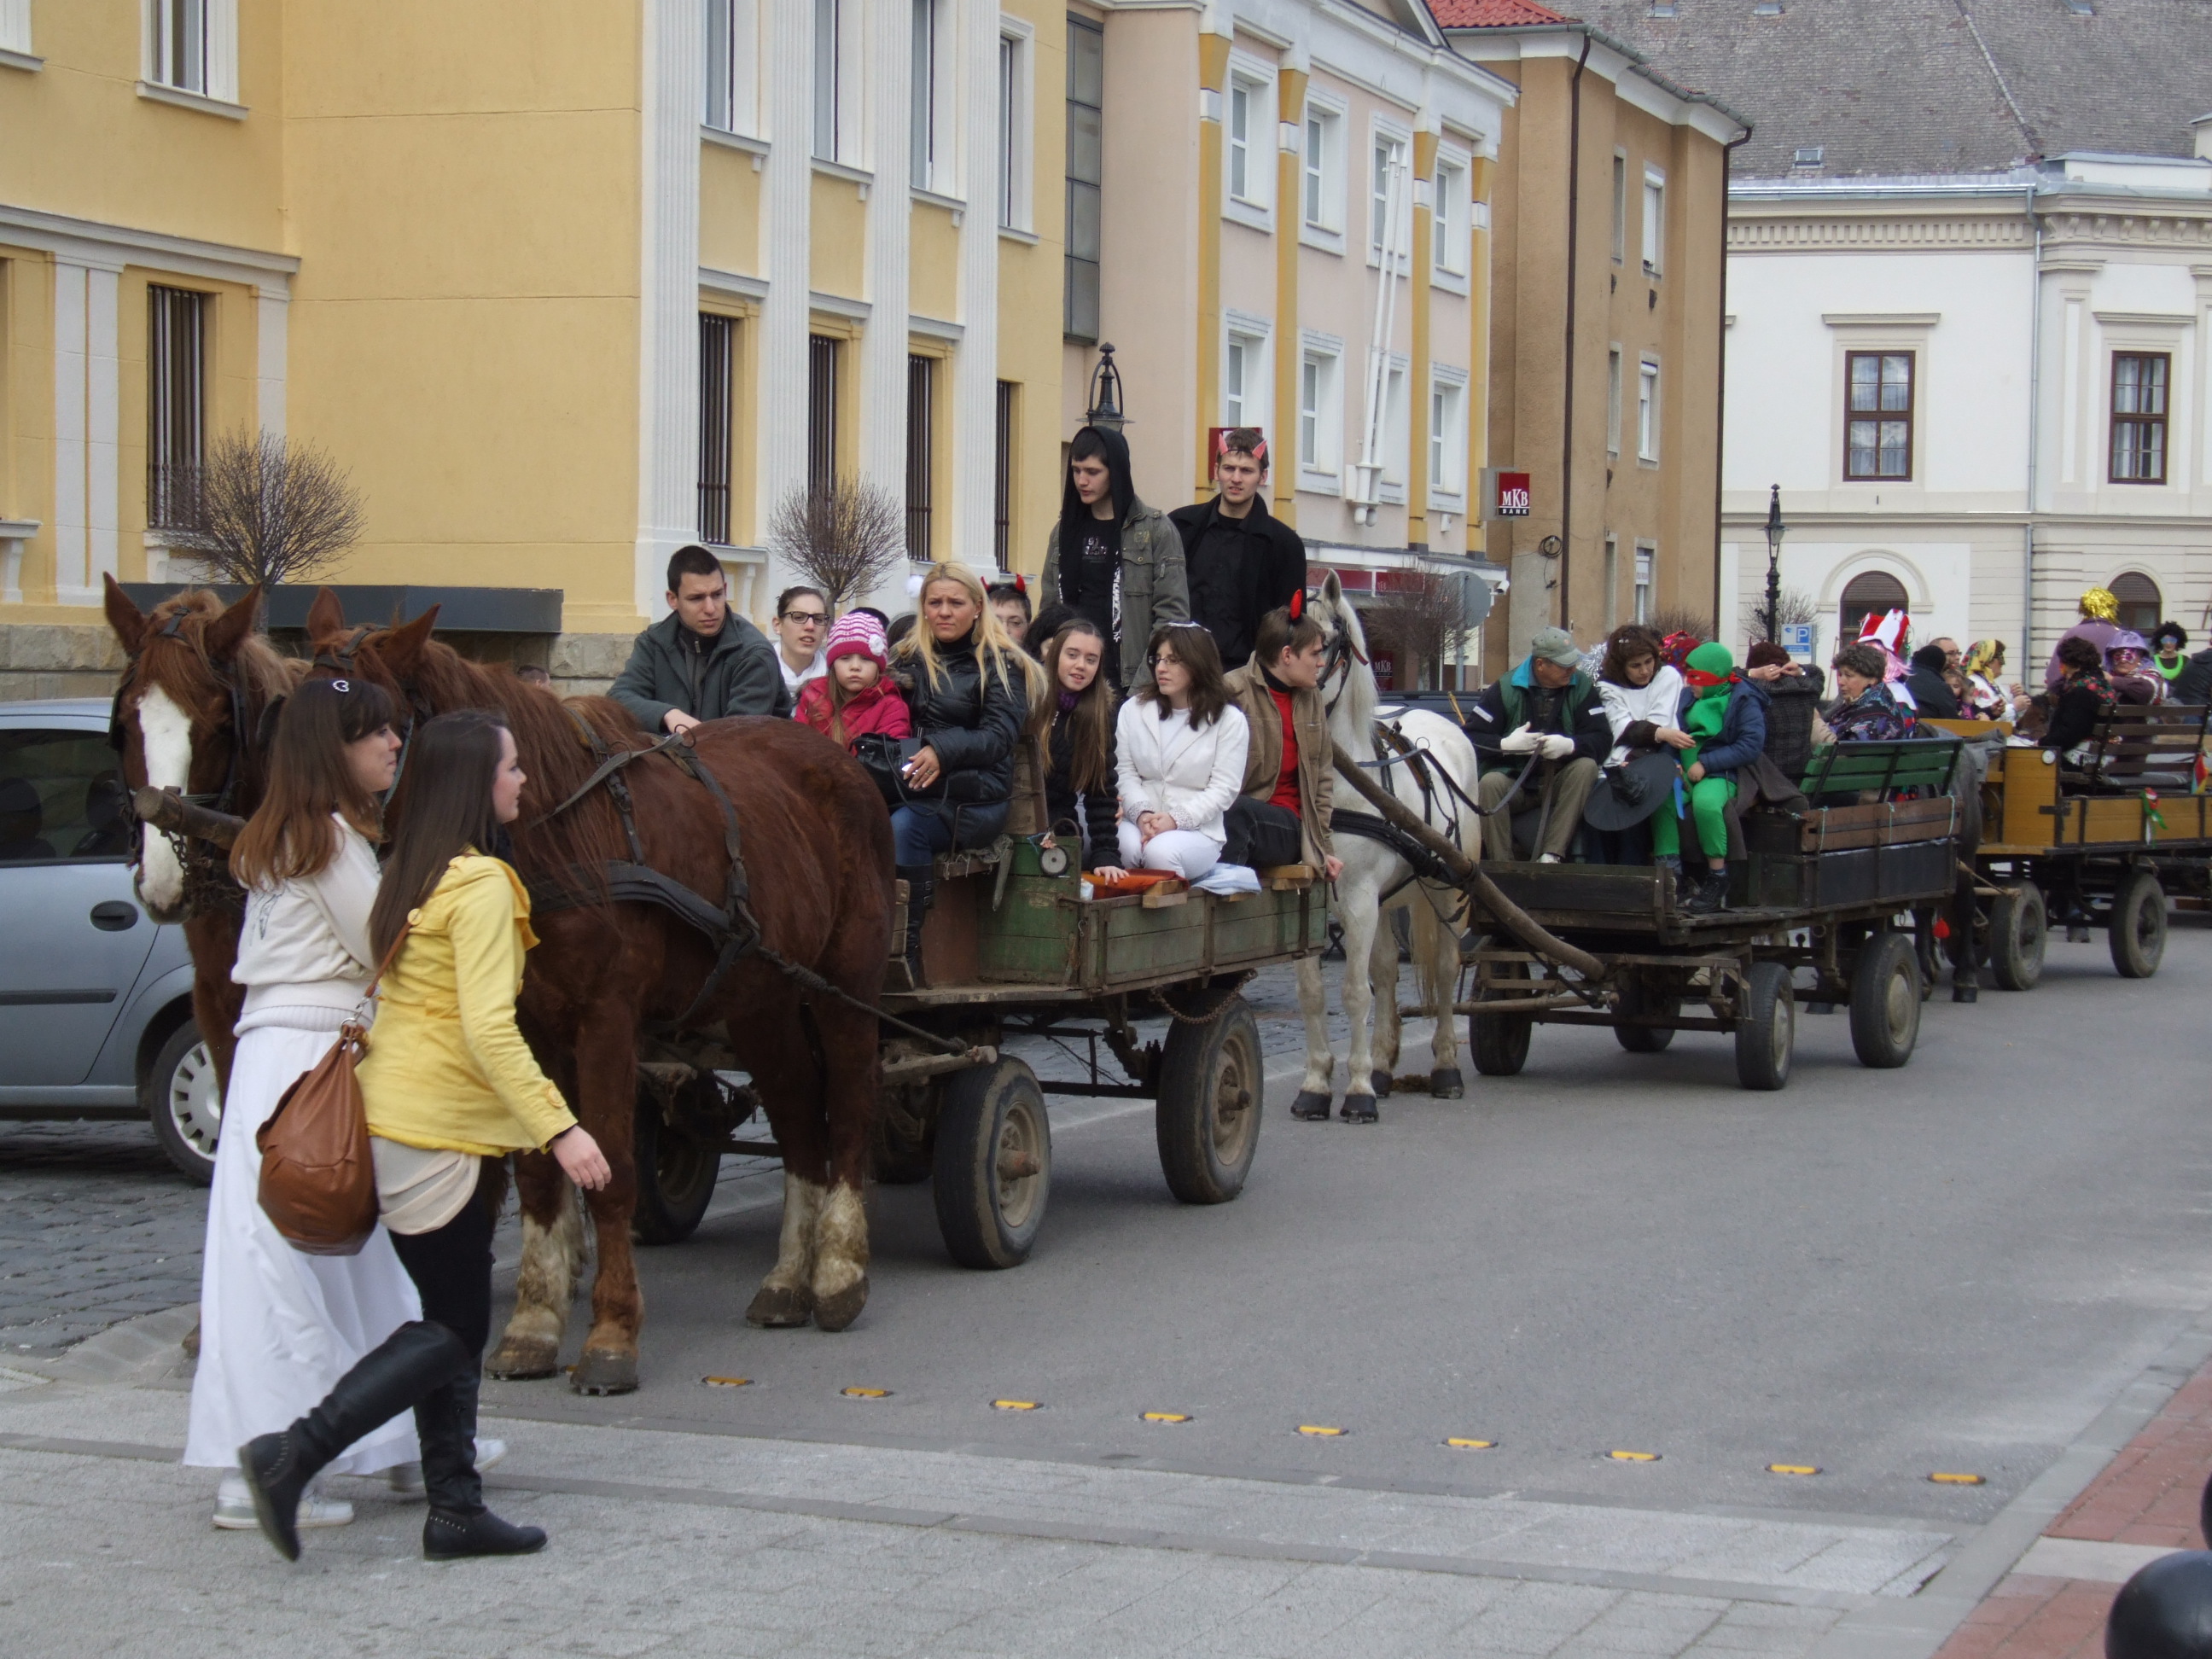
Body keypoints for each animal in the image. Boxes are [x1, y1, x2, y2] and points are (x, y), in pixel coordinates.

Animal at [300, 600, 896, 1394]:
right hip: (762, 999)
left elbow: (609, 1169)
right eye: (286, 710)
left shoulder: (605, 1020)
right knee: (801, 1117)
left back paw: (837, 1272)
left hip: (846, 987)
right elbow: (540, 1169)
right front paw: (532, 1325)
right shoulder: (525, 1029)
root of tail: (840, 764)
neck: (554, 834)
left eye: (367, 723)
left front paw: (611, 1334)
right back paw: (786, 1281)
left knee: (852, 1109)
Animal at [1292, 572, 1483, 1118]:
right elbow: (1314, 992)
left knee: (1445, 968)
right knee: (1384, 971)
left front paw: (1356, 1092)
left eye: (1324, 642)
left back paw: (1445, 1068)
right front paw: (1317, 1083)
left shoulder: (1357, 897)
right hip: (1386, 898)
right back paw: (1381, 1064)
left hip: (1448, 890)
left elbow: (1355, 993)